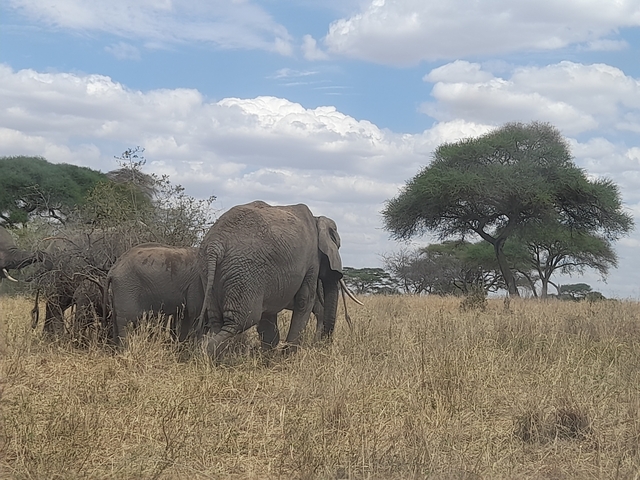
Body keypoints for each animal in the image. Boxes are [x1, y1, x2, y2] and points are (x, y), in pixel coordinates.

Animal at [197, 201, 345, 357]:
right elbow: (304, 301)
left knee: (217, 320)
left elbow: (269, 313)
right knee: (242, 320)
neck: (317, 219)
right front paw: (287, 356)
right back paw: (211, 354)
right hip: (245, 271)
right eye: (338, 245)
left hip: (210, 272)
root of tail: (215, 245)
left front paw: (268, 356)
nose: (324, 345)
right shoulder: (312, 260)